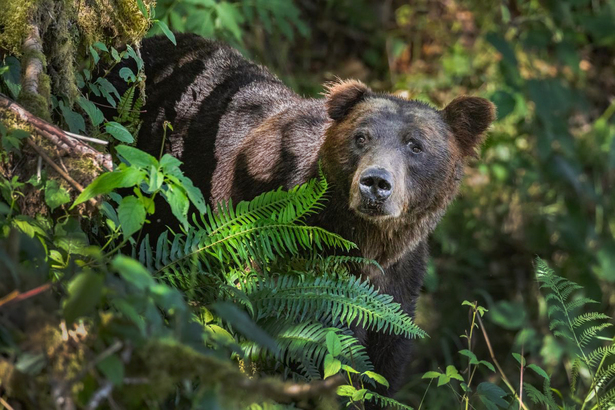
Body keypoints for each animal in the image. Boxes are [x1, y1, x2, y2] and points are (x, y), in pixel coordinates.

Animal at [109, 34, 496, 400]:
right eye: (361, 137)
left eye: (415, 145)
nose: (375, 183)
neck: (366, 240)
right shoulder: (290, 251)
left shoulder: (399, 279)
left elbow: (385, 361)